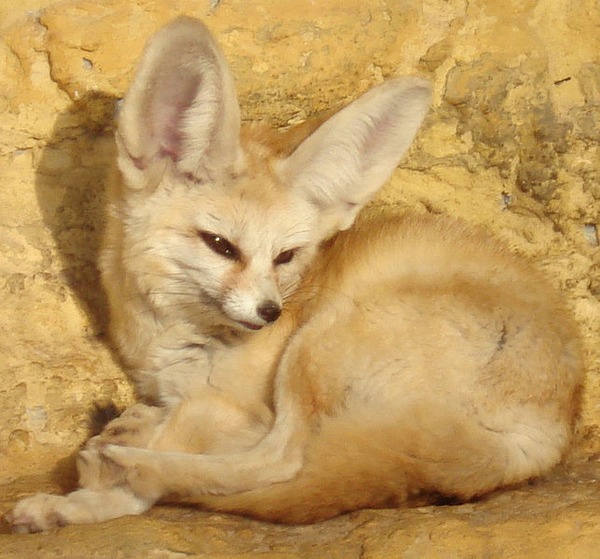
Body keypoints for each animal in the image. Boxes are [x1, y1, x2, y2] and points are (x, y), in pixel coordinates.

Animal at [9, 18, 580, 532]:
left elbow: (199, 446)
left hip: (319, 343)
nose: (270, 313)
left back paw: (136, 459)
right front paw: (76, 499)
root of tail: (546, 434)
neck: (175, 340)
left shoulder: (241, 406)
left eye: (285, 256)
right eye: (221, 246)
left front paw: (96, 483)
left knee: (282, 463)